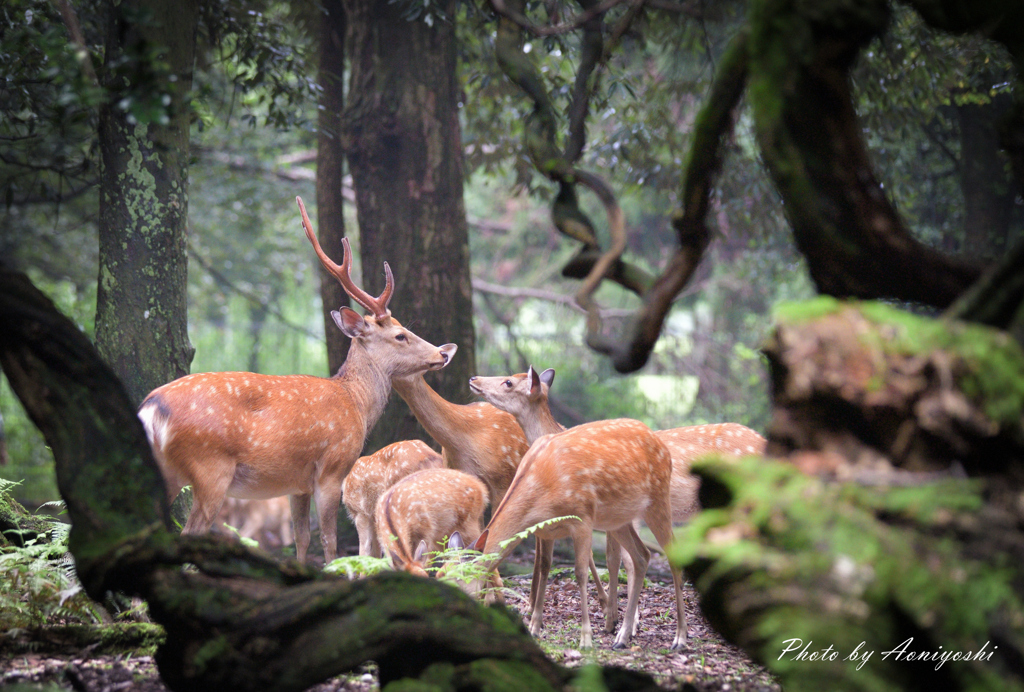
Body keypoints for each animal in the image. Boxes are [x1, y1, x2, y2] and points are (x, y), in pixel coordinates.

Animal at [137, 197, 456, 565]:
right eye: (400, 335)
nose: (442, 353)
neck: (356, 403)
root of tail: (150, 408)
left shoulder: (296, 483)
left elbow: (302, 538)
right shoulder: (331, 468)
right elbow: (330, 540)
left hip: (166, 470)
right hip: (210, 467)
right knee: (189, 532)